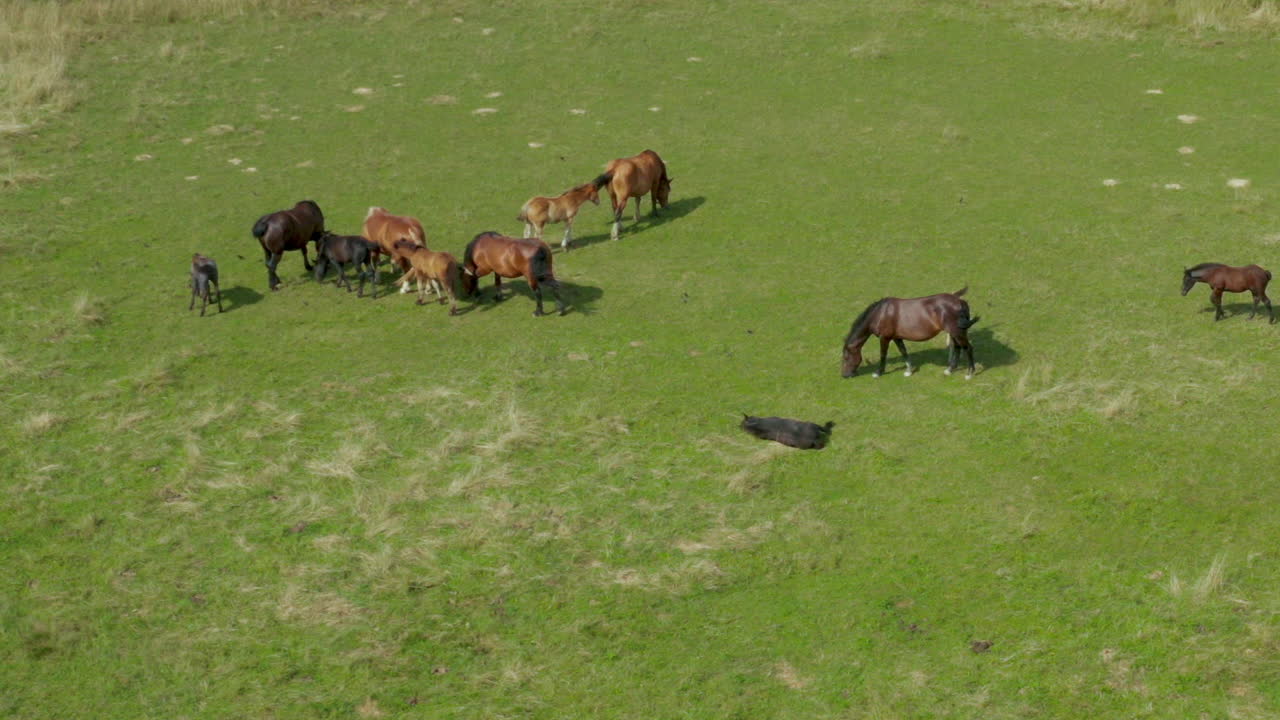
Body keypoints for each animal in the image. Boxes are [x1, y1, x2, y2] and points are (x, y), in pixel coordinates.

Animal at [841, 288, 980, 379]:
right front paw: (908, 371)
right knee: (957, 347)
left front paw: (878, 372)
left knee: (968, 348)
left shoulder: (884, 338)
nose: (844, 375)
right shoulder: (896, 337)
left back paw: (969, 373)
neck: (881, 313)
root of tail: (960, 301)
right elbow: (903, 352)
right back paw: (950, 370)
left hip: (957, 332)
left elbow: (883, 355)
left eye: (846, 357)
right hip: (955, 332)